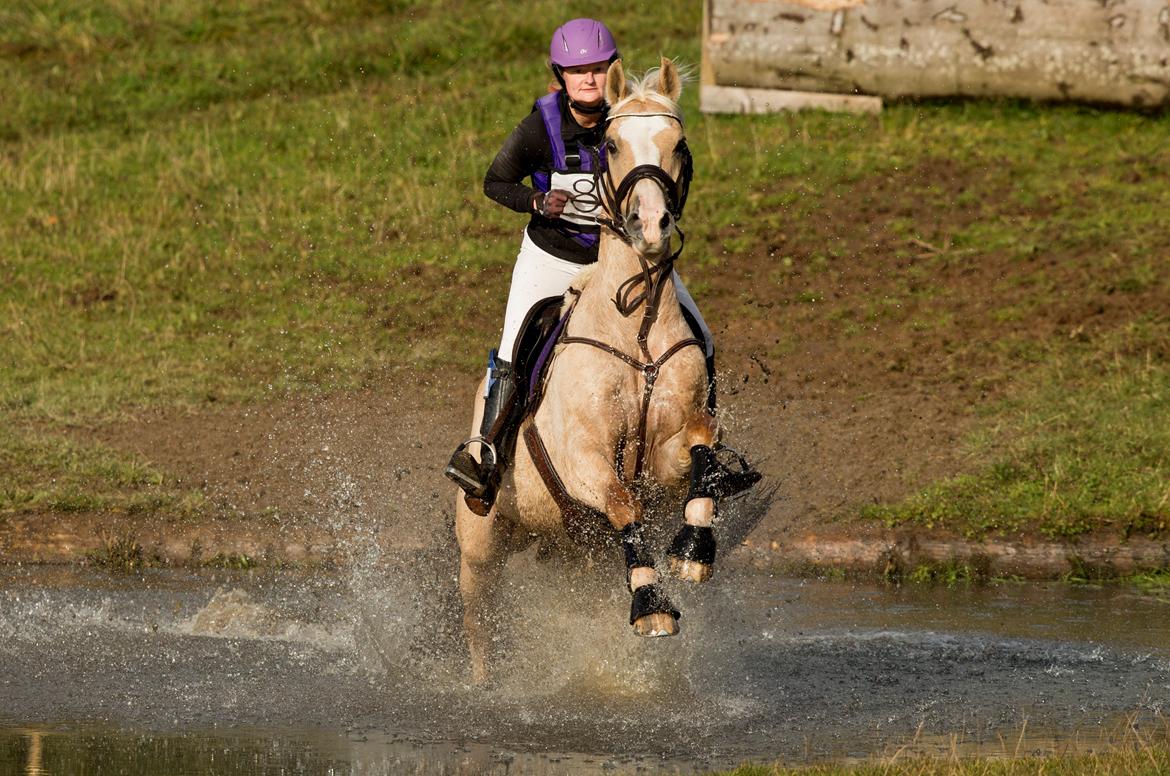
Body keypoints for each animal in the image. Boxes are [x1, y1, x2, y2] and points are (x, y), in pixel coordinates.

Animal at [456, 59, 739, 678]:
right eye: (610, 146)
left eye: (679, 145)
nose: (650, 224)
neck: (634, 327)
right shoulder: (581, 460)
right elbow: (620, 499)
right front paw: (651, 606)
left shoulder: (670, 450)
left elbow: (702, 450)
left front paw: (693, 551)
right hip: (482, 536)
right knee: (478, 614)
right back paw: (483, 686)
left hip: (574, 551)